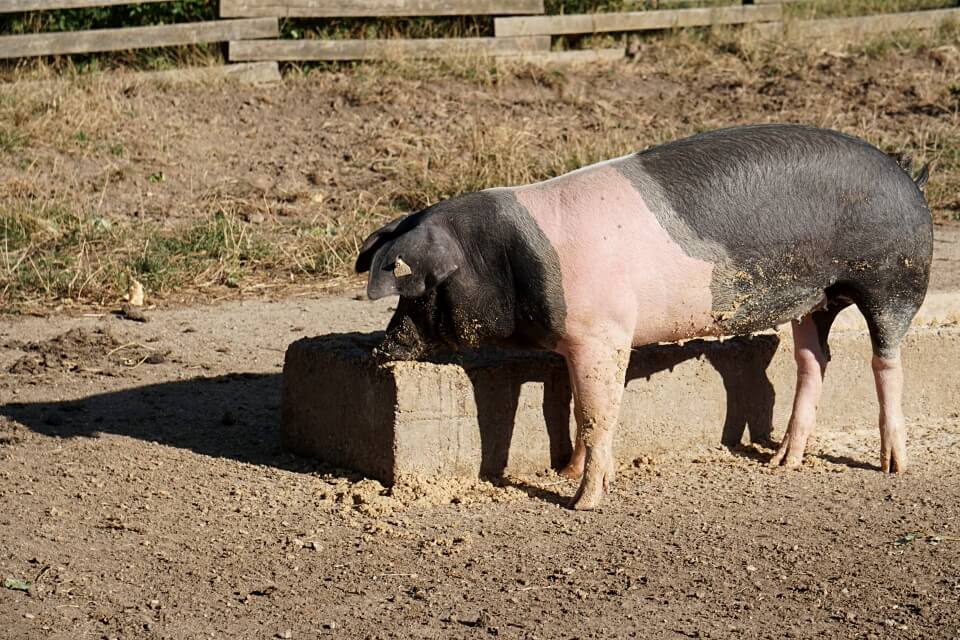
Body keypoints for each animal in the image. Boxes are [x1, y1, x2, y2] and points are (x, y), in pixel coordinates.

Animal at [352, 124, 928, 510]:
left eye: (417, 290)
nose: (379, 347)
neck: (509, 260)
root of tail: (907, 175)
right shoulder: (579, 342)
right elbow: (579, 411)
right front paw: (565, 471)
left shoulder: (603, 332)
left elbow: (596, 413)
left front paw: (582, 502)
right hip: (813, 299)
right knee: (813, 358)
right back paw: (783, 460)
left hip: (892, 278)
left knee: (886, 359)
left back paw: (892, 465)